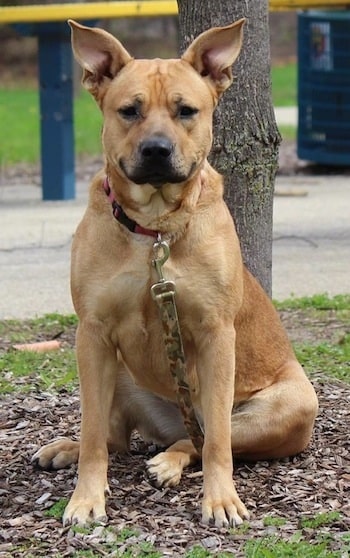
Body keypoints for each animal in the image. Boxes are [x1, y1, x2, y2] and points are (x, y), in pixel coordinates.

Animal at [32, 19, 318, 528]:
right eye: (129, 111)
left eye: (187, 111)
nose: (156, 150)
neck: (155, 229)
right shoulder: (93, 334)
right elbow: (92, 434)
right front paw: (86, 497)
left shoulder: (215, 334)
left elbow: (219, 443)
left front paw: (220, 500)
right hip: (119, 370)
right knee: (116, 437)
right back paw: (69, 448)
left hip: (288, 404)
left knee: (201, 439)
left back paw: (169, 461)